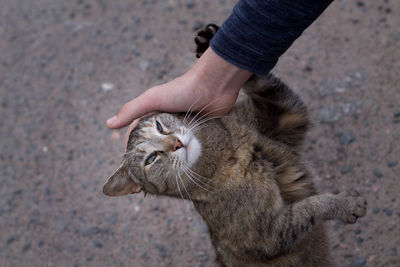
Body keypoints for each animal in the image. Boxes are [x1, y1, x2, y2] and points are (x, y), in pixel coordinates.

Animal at [102, 24, 366, 266]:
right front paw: (345, 204)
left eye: (159, 126)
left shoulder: (288, 116)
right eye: (151, 159)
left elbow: (264, 84)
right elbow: (311, 207)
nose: (176, 143)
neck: (229, 152)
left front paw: (209, 43)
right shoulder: (270, 234)